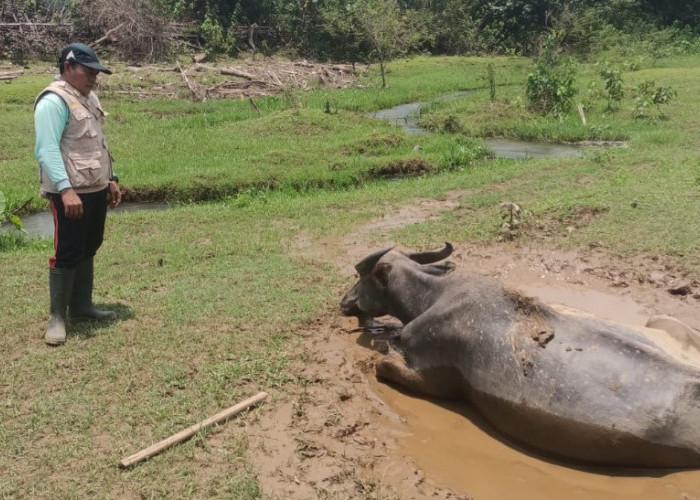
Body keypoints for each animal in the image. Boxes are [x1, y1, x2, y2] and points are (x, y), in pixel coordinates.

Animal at [342, 243, 700, 468]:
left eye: (361, 278)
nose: (344, 301)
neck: (432, 297)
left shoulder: (429, 375)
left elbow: (382, 363)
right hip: (661, 322)